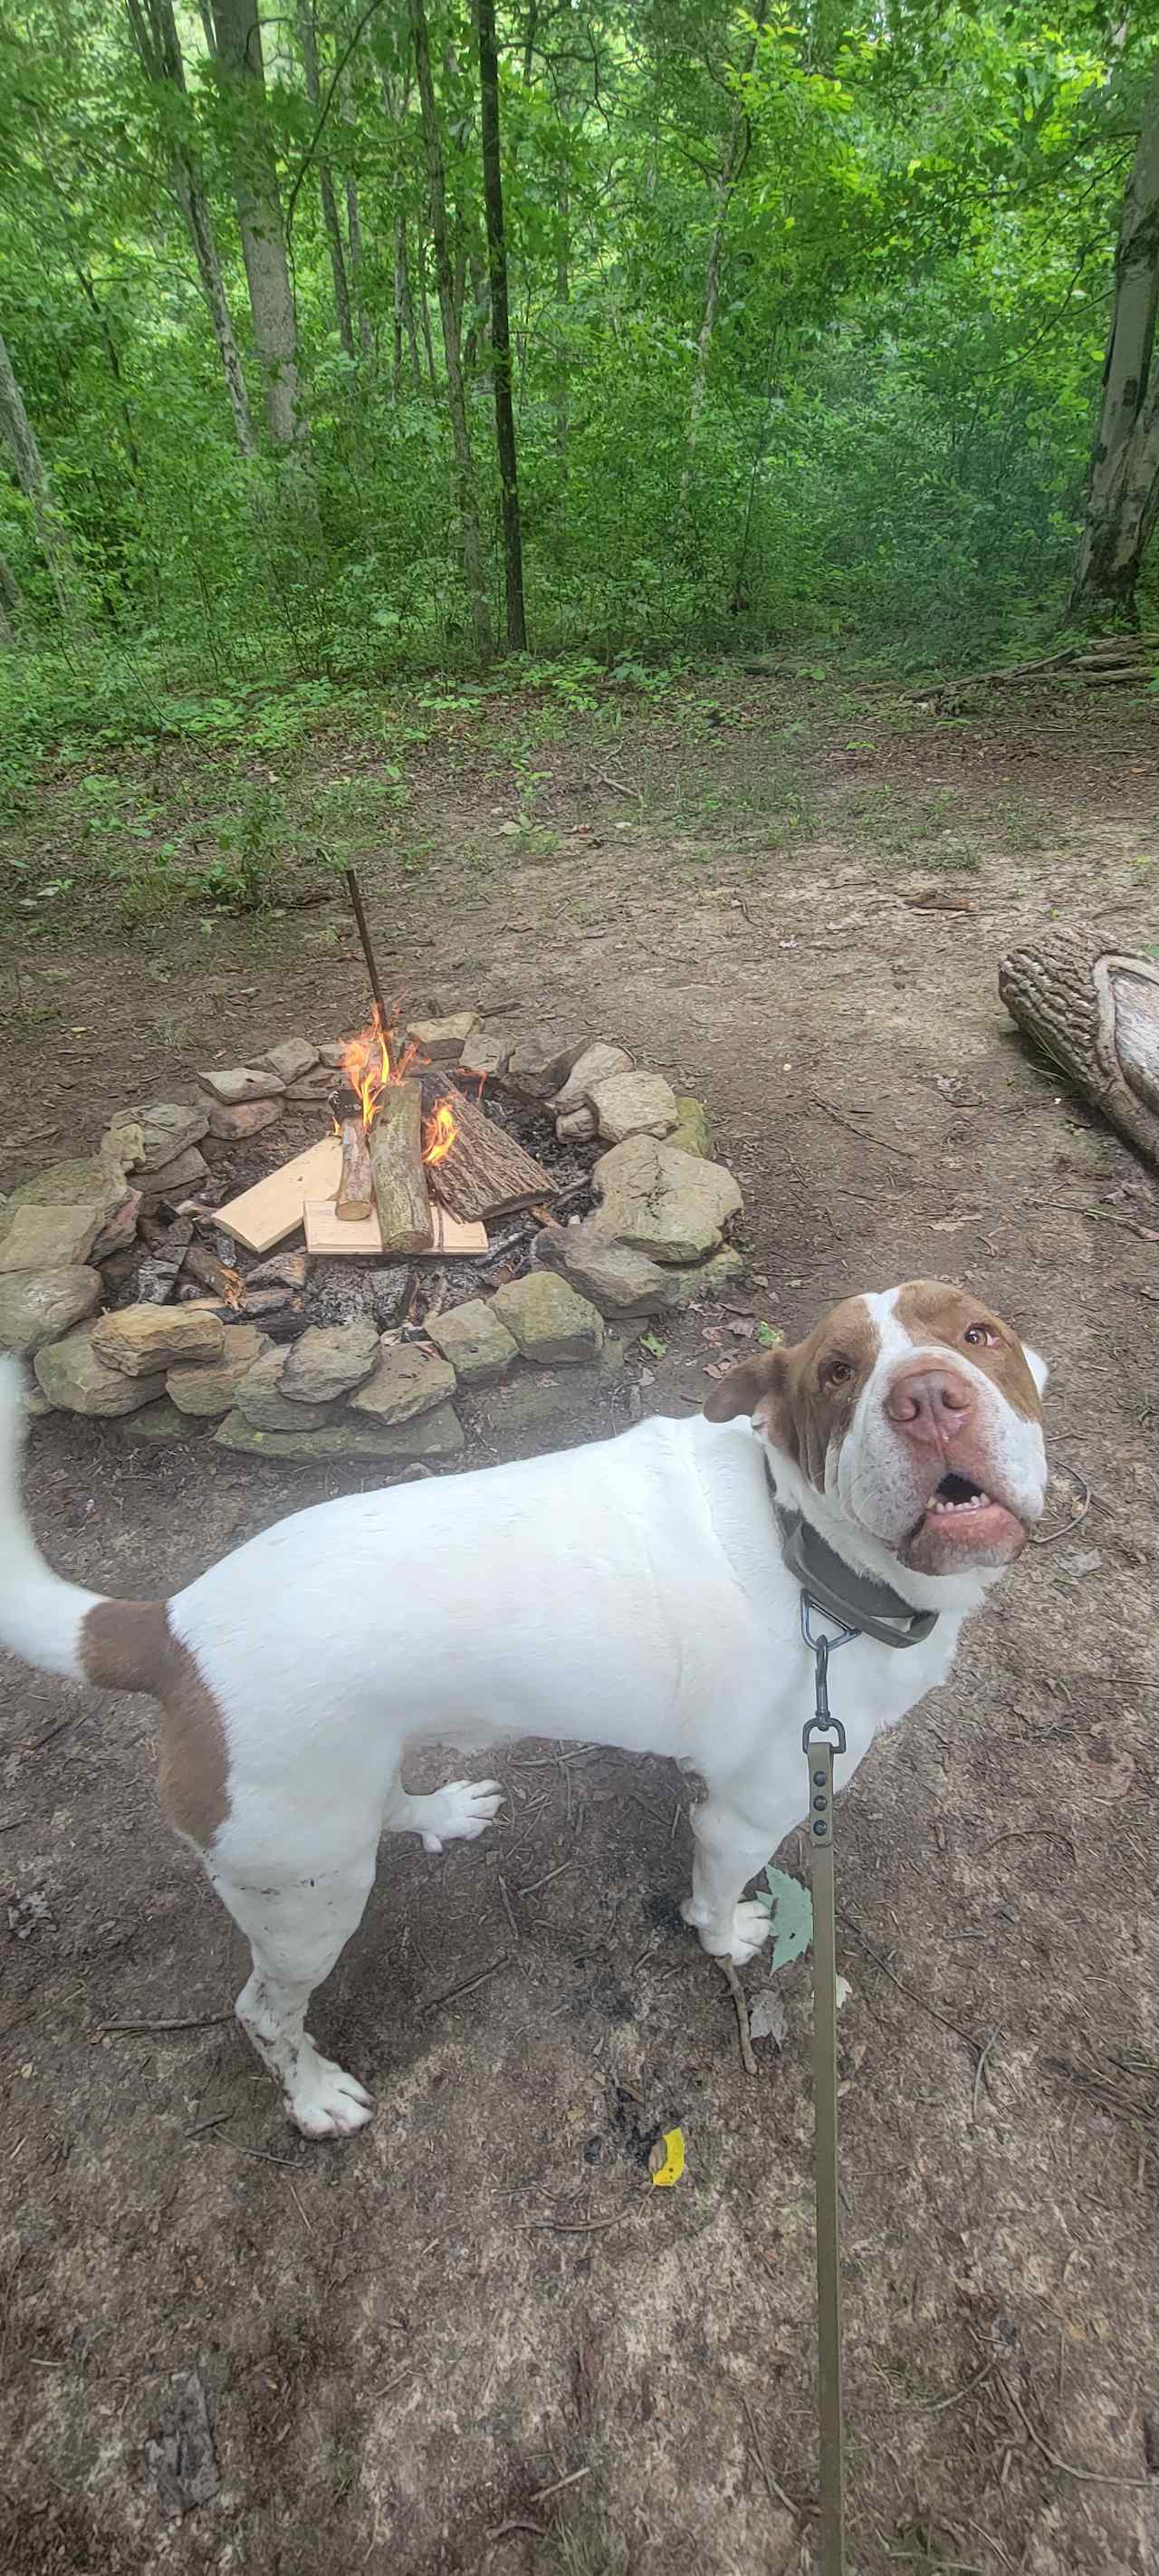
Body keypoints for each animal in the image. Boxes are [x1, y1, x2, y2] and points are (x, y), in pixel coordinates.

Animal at [0, 1277, 1050, 2143]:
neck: (808, 1548)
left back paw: (440, 1813)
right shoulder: (745, 1814)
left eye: (979, 1334)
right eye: (838, 1372)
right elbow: (711, 1901)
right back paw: (312, 2096)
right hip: (303, 1897)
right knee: (263, 2012)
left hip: (338, 1802)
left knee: (382, 1806)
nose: (928, 1397)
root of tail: (170, 1628)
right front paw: (729, 1940)